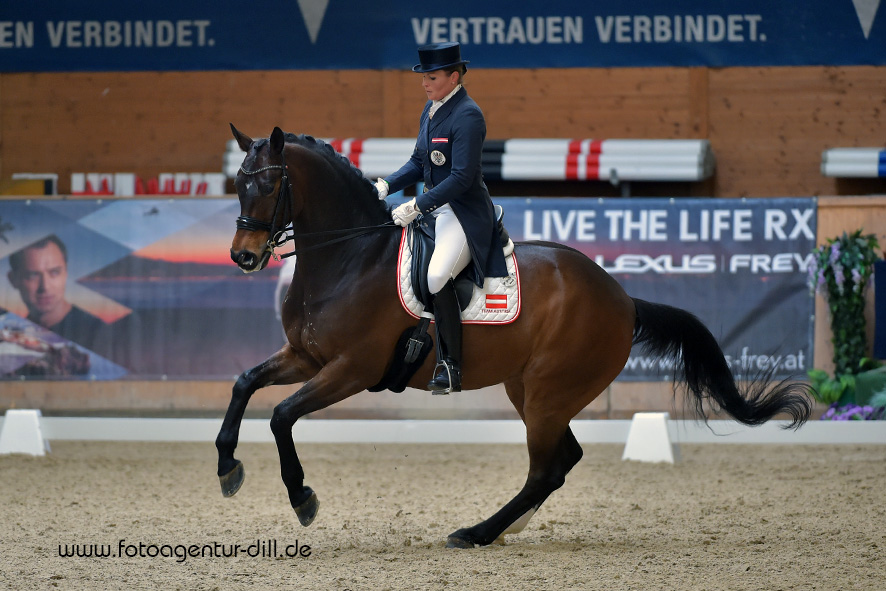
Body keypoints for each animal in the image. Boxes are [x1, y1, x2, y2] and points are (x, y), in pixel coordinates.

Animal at [215, 125, 812, 552]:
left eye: (270, 185)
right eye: (237, 185)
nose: (244, 257)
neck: (349, 258)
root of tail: (622, 299)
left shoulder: (351, 369)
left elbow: (281, 415)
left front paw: (302, 497)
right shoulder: (304, 356)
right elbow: (244, 385)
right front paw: (227, 468)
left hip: (549, 391)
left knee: (546, 468)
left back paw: (476, 533)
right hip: (530, 390)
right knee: (561, 461)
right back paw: (505, 528)